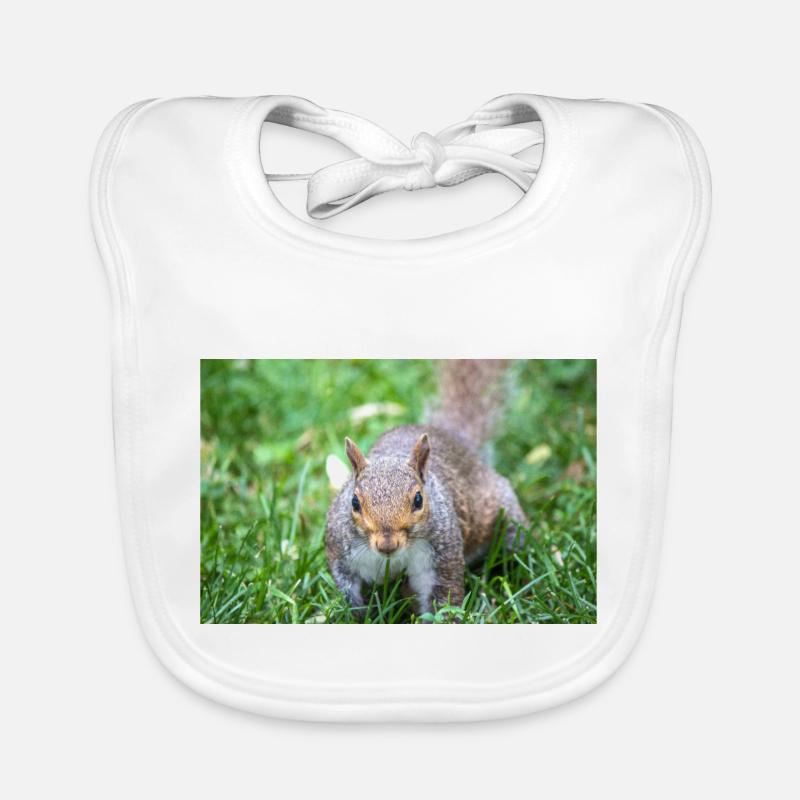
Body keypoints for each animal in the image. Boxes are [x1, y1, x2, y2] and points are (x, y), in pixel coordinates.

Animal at [325, 360, 528, 620]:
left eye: (419, 500)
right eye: (354, 502)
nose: (387, 545)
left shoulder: (441, 558)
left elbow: (443, 597)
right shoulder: (341, 553)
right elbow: (349, 591)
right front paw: (360, 617)